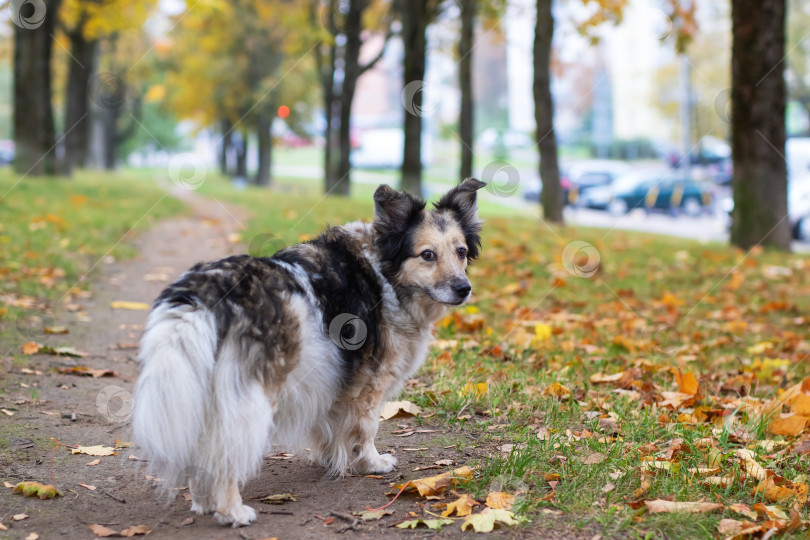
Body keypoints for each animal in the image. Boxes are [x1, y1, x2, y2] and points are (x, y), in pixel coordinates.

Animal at [133, 179, 486, 524]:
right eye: (427, 255)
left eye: (461, 252)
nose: (463, 289)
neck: (383, 272)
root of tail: (205, 290)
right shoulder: (371, 382)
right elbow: (367, 427)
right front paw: (370, 463)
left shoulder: (334, 381)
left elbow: (332, 425)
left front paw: (331, 460)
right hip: (251, 397)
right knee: (227, 454)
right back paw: (232, 510)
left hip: (209, 395)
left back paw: (204, 503)